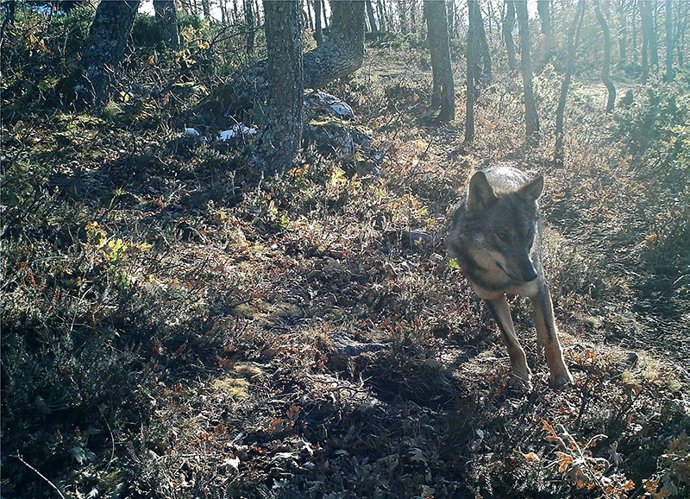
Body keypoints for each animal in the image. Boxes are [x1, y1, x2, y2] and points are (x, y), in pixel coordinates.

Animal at [447, 166, 573, 390]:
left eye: (529, 234)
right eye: (502, 235)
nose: (531, 275)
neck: (502, 279)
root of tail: (506, 166)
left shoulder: (540, 289)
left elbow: (551, 338)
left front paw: (560, 375)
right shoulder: (492, 297)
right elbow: (512, 342)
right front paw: (521, 377)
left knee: (544, 324)